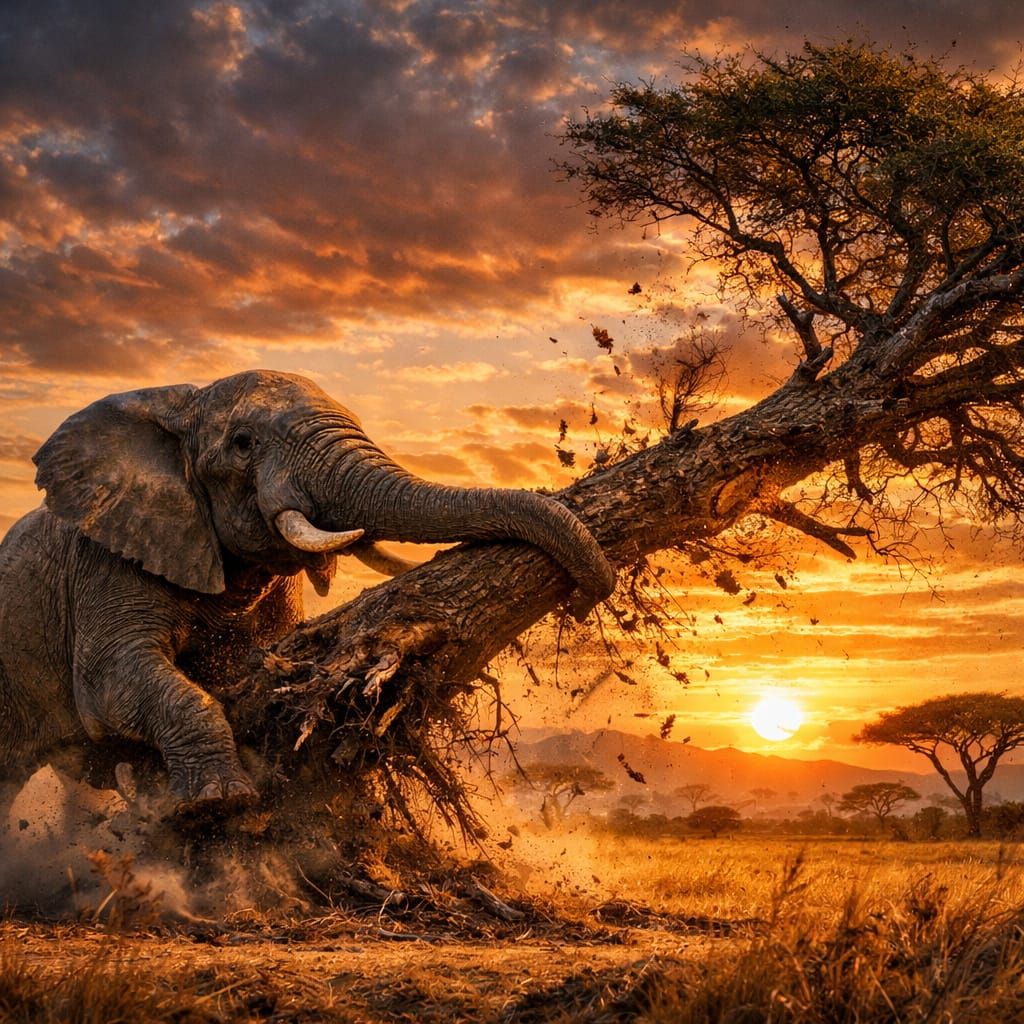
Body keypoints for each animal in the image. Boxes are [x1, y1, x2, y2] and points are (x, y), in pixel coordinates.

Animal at [0, 370, 615, 812]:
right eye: (243, 443)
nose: (587, 599)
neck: (180, 403)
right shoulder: (108, 559)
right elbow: (110, 683)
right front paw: (219, 804)